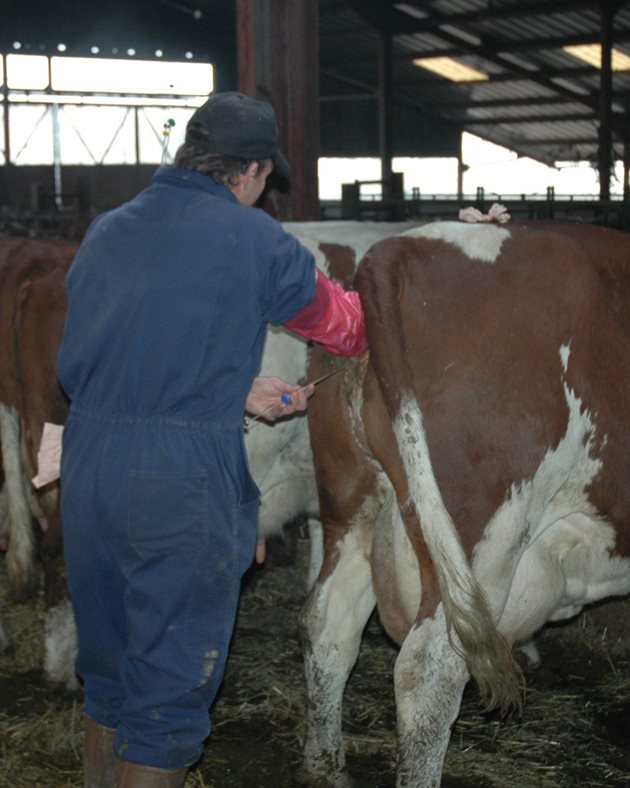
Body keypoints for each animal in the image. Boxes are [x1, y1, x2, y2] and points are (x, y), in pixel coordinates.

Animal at [302, 222, 630, 788]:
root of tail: (404, 247)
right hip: (482, 535)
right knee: (428, 671)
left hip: (351, 508)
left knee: (328, 627)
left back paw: (325, 769)